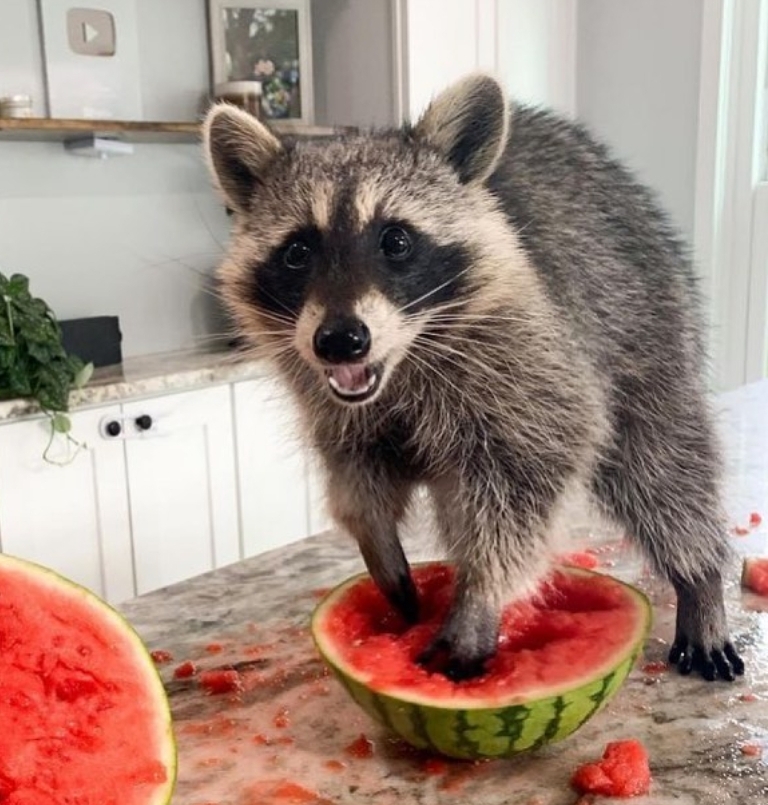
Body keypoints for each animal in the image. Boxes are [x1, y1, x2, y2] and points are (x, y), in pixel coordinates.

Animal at [204, 74, 744, 682]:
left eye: (396, 240)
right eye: (297, 250)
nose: (341, 339)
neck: (401, 362)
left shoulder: (531, 357)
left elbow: (535, 467)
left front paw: (481, 592)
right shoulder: (333, 400)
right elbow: (354, 472)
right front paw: (373, 533)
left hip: (650, 327)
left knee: (664, 467)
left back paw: (700, 578)